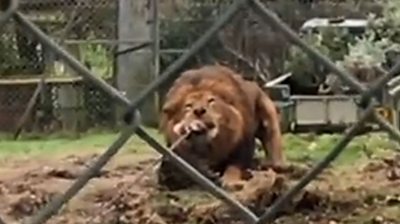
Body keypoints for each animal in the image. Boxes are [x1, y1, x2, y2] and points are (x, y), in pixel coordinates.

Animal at [158, 65, 286, 189]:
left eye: (211, 101)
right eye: (188, 106)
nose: (199, 111)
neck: (209, 146)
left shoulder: (244, 142)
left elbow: (235, 166)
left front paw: (230, 181)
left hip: (267, 110)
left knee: (272, 140)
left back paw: (274, 165)